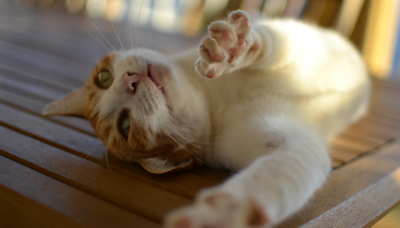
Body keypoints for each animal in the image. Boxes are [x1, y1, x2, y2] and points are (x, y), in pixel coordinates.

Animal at [42, 10, 370, 228]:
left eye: (104, 78)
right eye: (126, 126)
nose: (130, 81)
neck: (216, 99)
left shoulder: (290, 40)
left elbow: (269, 44)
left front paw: (231, 48)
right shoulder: (286, 143)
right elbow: (278, 173)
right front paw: (225, 211)